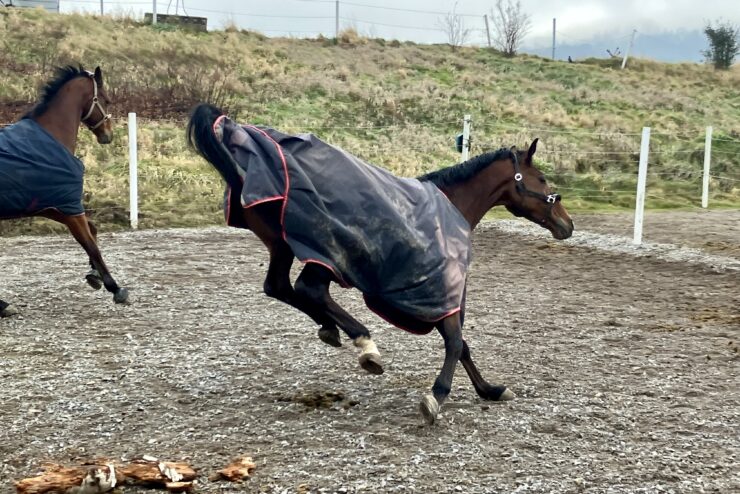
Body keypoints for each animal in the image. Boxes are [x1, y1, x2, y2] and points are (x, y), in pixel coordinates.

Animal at [0, 66, 129, 318]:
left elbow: (93, 230)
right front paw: (116, 288)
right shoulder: (69, 210)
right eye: (107, 101)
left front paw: (95, 276)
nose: (108, 135)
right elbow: (90, 245)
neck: (51, 137)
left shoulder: (53, 206)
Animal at [187, 102, 574, 424]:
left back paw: (331, 329)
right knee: (308, 289)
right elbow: (455, 341)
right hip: (325, 253)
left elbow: (461, 344)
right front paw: (437, 396)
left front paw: (489, 390)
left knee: (280, 287)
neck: (451, 206)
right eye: (542, 180)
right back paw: (365, 346)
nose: (567, 224)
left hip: (283, 245)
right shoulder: (444, 290)